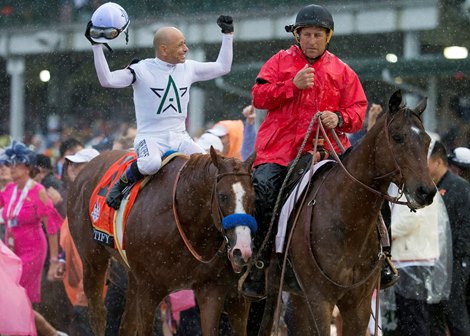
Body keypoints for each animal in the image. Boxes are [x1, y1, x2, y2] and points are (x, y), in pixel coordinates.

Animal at [68, 150, 255, 336]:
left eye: (252, 196)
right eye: (223, 196)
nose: (242, 250)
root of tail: (85, 170)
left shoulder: (210, 288)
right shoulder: (149, 290)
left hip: (132, 275)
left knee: (126, 324)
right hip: (92, 260)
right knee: (98, 314)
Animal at [258, 90, 436, 336]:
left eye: (427, 141)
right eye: (398, 137)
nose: (426, 191)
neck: (347, 220)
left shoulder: (358, 304)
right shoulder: (320, 300)